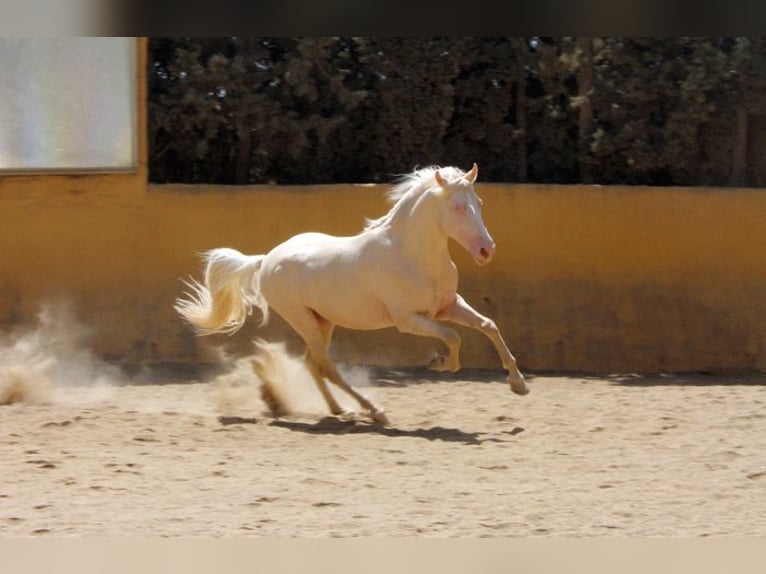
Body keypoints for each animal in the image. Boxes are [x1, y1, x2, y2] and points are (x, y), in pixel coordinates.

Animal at [177, 164, 532, 426]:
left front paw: (519, 384)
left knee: (313, 363)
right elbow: (453, 338)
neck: (411, 255)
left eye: (479, 204)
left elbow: (488, 326)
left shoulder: (447, 306)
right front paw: (438, 363)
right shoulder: (409, 320)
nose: (486, 250)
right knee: (325, 364)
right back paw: (374, 411)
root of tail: (265, 260)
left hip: (323, 321)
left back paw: (340, 410)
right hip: (302, 319)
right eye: (458, 207)